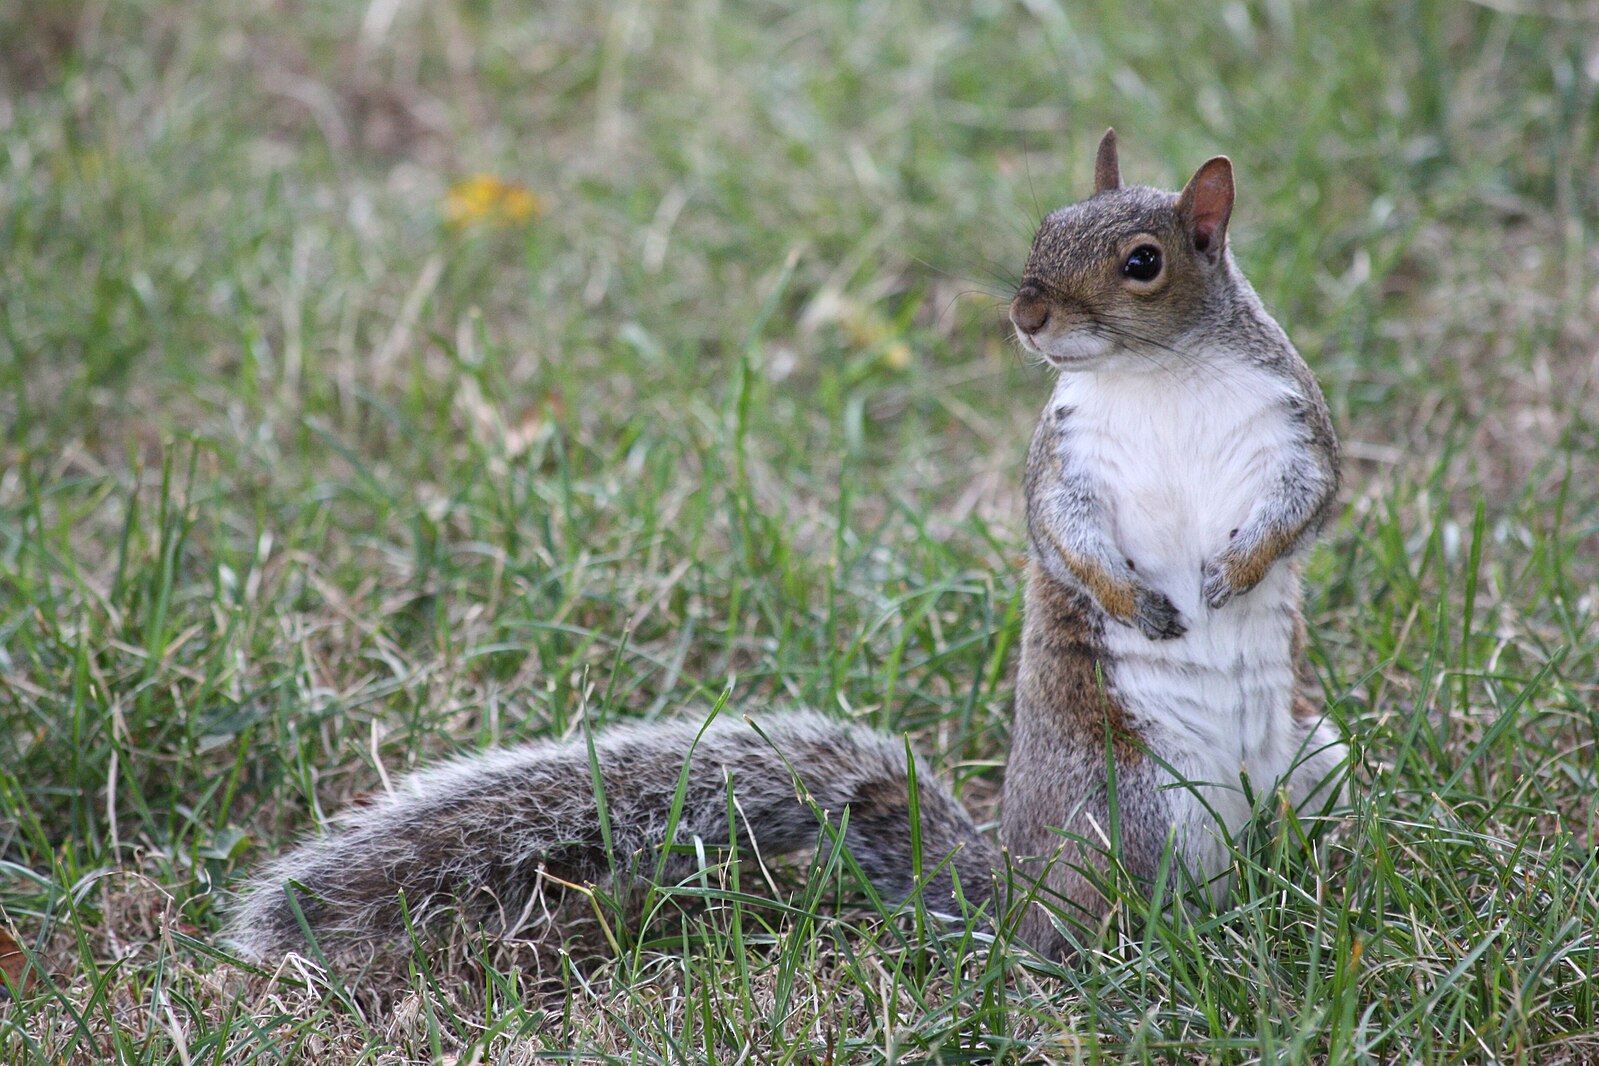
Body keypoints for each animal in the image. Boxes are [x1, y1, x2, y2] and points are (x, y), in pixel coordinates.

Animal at [225, 129, 1349, 965]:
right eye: (1045, 228)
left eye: (1142, 263)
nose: (1026, 312)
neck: (1158, 377)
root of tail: (1017, 896)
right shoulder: (1064, 462)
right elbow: (1063, 536)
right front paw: (1137, 601)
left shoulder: (1294, 425)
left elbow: (1306, 504)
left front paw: (1231, 574)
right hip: (1129, 809)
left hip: (1314, 759)